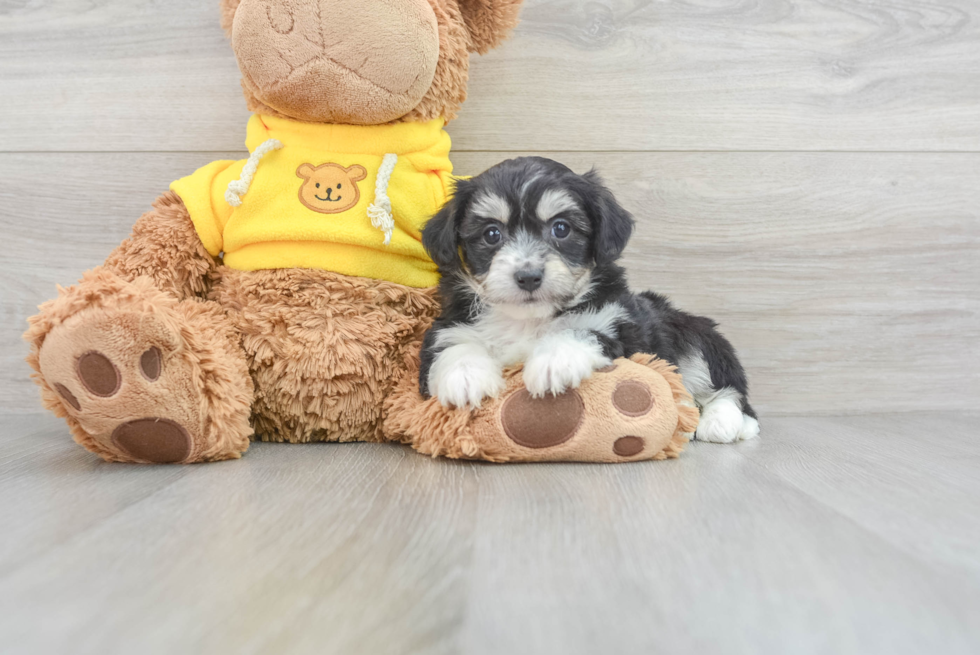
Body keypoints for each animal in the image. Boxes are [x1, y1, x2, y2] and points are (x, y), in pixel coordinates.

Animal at [418, 158, 760, 444]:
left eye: (561, 228)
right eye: (491, 234)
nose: (528, 276)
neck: (529, 320)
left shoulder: (619, 327)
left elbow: (579, 330)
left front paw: (553, 362)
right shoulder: (447, 325)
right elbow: (455, 344)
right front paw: (465, 378)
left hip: (697, 337)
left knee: (728, 391)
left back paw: (722, 423)